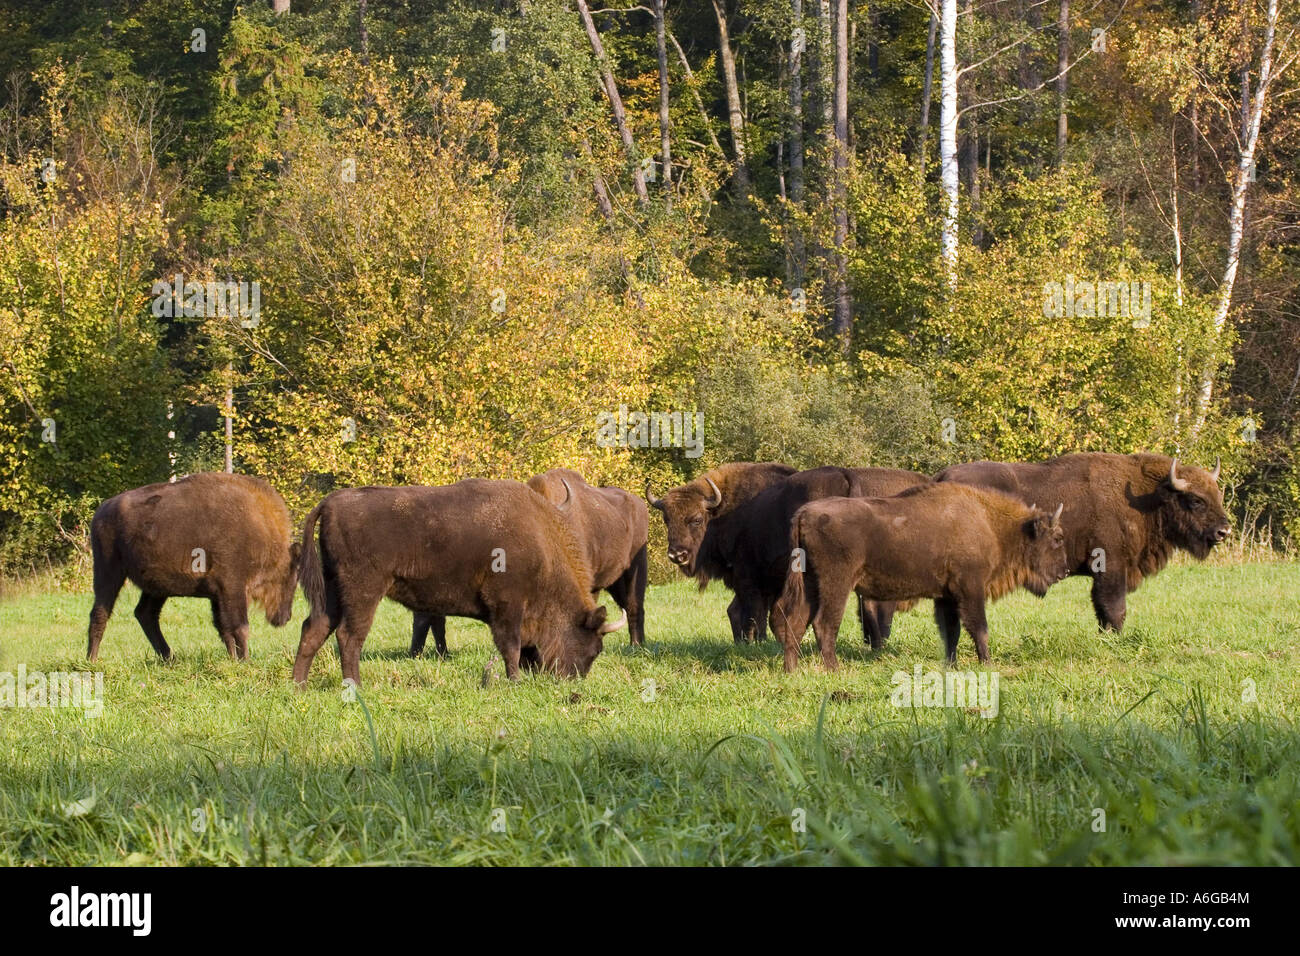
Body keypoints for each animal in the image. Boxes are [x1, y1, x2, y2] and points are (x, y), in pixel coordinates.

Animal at [86, 473, 301, 665]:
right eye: (292, 579)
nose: (285, 617)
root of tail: (101, 511)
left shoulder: (218, 595)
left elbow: (224, 628)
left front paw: (233, 660)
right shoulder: (232, 588)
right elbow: (240, 627)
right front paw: (245, 661)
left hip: (156, 588)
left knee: (145, 614)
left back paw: (169, 658)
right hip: (109, 572)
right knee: (100, 613)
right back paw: (92, 660)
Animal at [293, 478, 624, 686]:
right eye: (594, 648)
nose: (572, 680)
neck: (540, 542)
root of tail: (331, 502)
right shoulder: (508, 607)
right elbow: (511, 646)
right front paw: (515, 681)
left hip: (331, 589)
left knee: (314, 628)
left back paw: (299, 685)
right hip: (363, 591)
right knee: (349, 636)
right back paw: (356, 686)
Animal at [769, 486, 1066, 671]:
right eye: (1056, 538)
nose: (1063, 571)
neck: (989, 523)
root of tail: (803, 514)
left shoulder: (947, 596)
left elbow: (951, 631)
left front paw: (951, 666)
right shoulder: (970, 589)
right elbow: (978, 627)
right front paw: (988, 664)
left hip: (810, 583)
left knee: (795, 621)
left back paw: (791, 671)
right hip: (836, 584)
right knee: (824, 624)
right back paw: (834, 670)